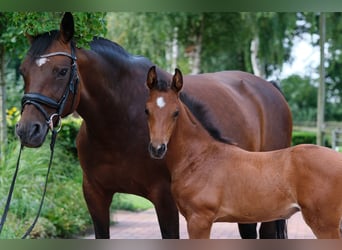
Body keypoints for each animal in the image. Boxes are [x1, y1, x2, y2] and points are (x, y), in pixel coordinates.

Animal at [14, 12, 292, 239]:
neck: (120, 122)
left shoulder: (165, 200)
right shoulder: (95, 195)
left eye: (61, 71)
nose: (28, 130)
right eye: (23, 71)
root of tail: (270, 89)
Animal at [144, 66, 342, 238]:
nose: (157, 148)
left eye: (176, 112)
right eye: (147, 111)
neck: (199, 158)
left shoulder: (199, 220)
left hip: (324, 225)